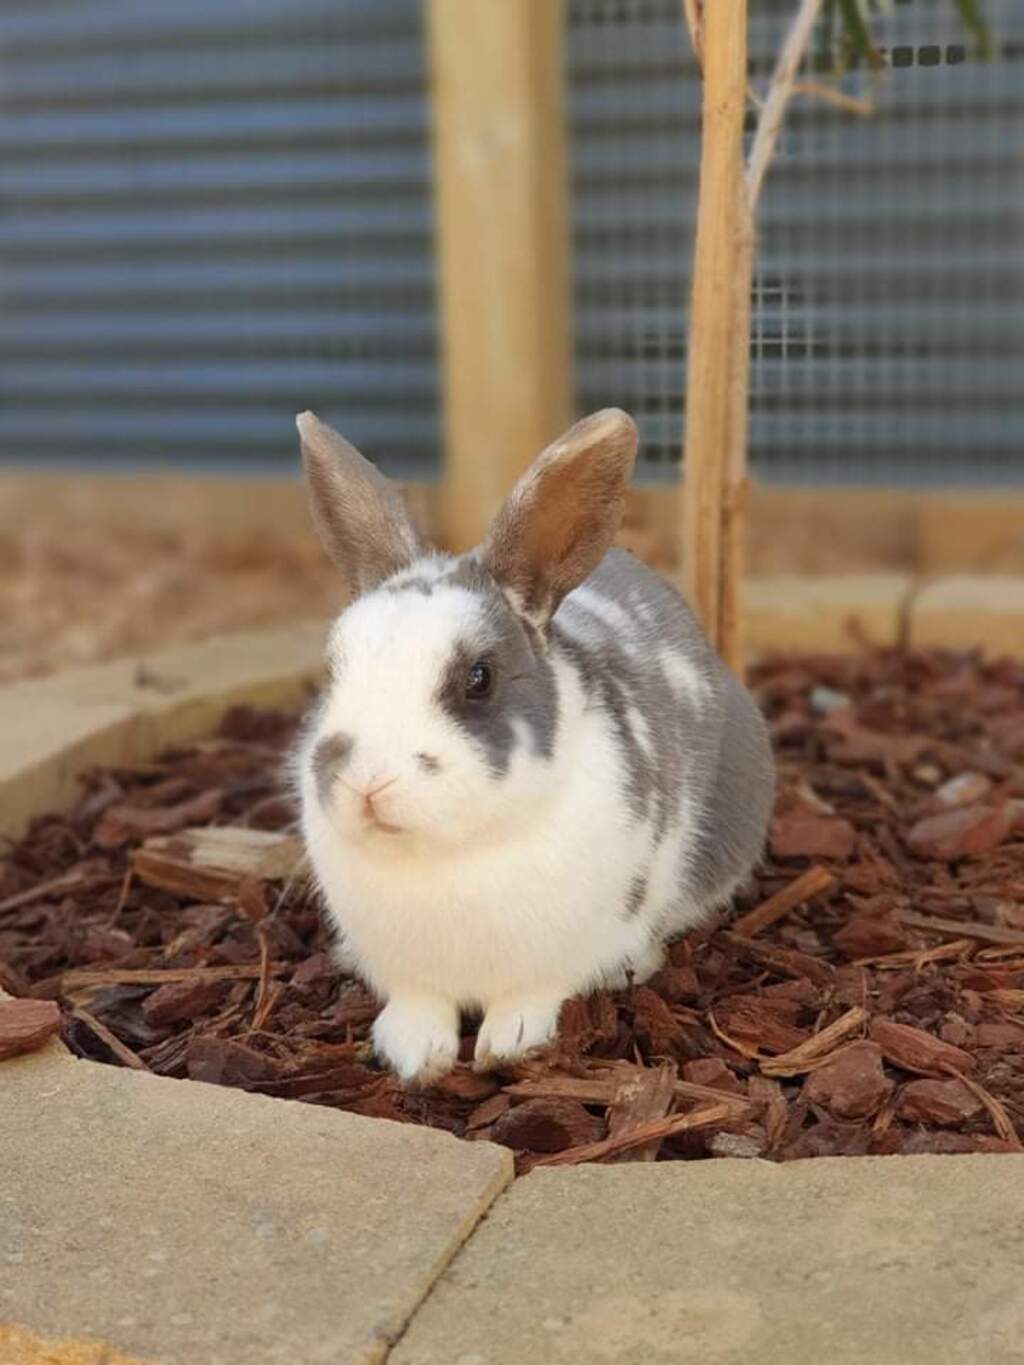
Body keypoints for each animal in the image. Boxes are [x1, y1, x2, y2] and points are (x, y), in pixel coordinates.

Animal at [294, 407, 774, 1084]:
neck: (448, 858)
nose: (365, 782)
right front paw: (413, 1055)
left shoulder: (565, 954)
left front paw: (511, 1043)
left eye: (479, 678)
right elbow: (419, 1004)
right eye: (333, 668)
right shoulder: (406, 971)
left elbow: (531, 998)